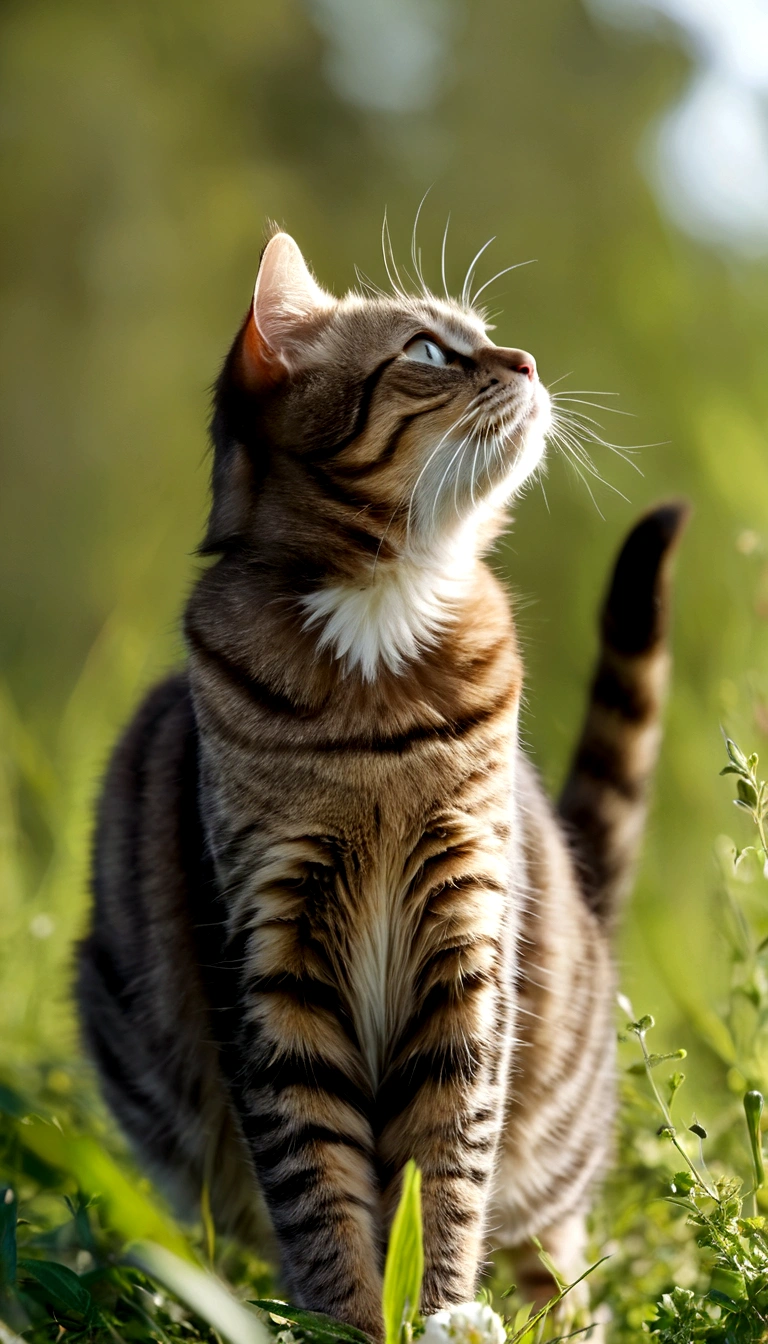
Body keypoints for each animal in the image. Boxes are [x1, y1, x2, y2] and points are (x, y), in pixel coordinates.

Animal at [76, 228, 688, 1333]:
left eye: (484, 337)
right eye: (431, 353)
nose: (526, 362)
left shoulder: (466, 940)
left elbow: (445, 1176)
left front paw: (438, 1314)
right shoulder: (267, 960)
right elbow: (317, 1188)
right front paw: (351, 1322)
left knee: (555, 1259)